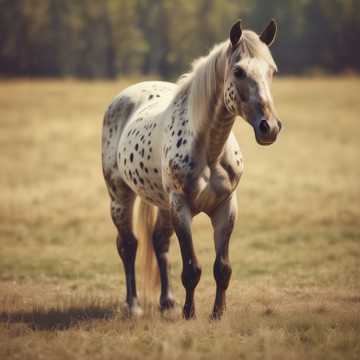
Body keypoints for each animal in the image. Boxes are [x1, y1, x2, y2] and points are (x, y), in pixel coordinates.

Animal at [100, 19, 282, 320]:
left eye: (272, 71)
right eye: (238, 71)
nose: (270, 128)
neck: (209, 152)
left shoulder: (226, 207)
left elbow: (222, 268)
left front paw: (217, 313)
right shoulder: (181, 207)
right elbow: (191, 268)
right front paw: (189, 313)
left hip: (162, 204)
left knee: (159, 242)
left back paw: (167, 302)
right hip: (121, 197)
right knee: (128, 245)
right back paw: (134, 305)